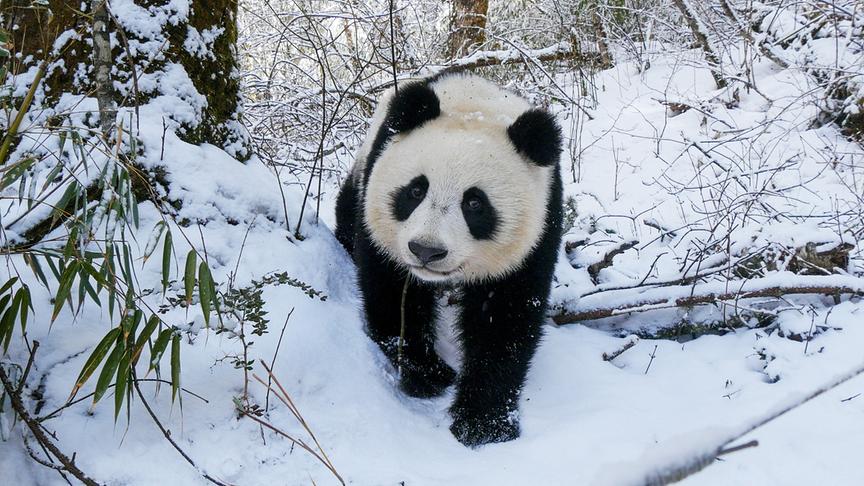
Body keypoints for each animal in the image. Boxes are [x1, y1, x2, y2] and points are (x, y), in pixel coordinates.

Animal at [335, 72, 563, 447]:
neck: (475, 106)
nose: (426, 251)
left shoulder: (539, 227)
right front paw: (428, 374)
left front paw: (484, 424)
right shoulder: (381, 213)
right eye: (415, 190)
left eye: (475, 203)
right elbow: (393, 293)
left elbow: (503, 318)